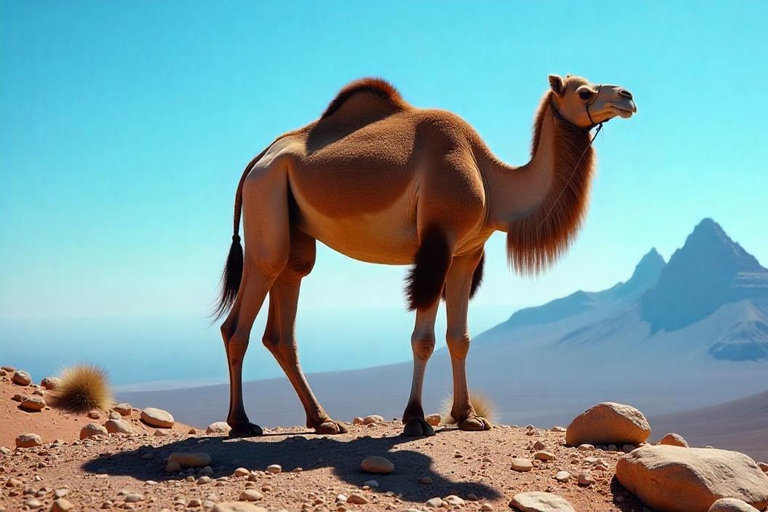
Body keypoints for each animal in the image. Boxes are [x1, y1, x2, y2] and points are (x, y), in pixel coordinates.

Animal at [212, 75, 636, 436]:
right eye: (584, 92)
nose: (627, 97)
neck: (492, 180)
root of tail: (260, 158)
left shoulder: (468, 253)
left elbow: (459, 337)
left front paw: (468, 417)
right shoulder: (438, 241)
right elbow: (424, 339)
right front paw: (415, 419)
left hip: (292, 229)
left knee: (283, 319)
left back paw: (322, 420)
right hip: (266, 201)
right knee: (240, 320)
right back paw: (241, 422)